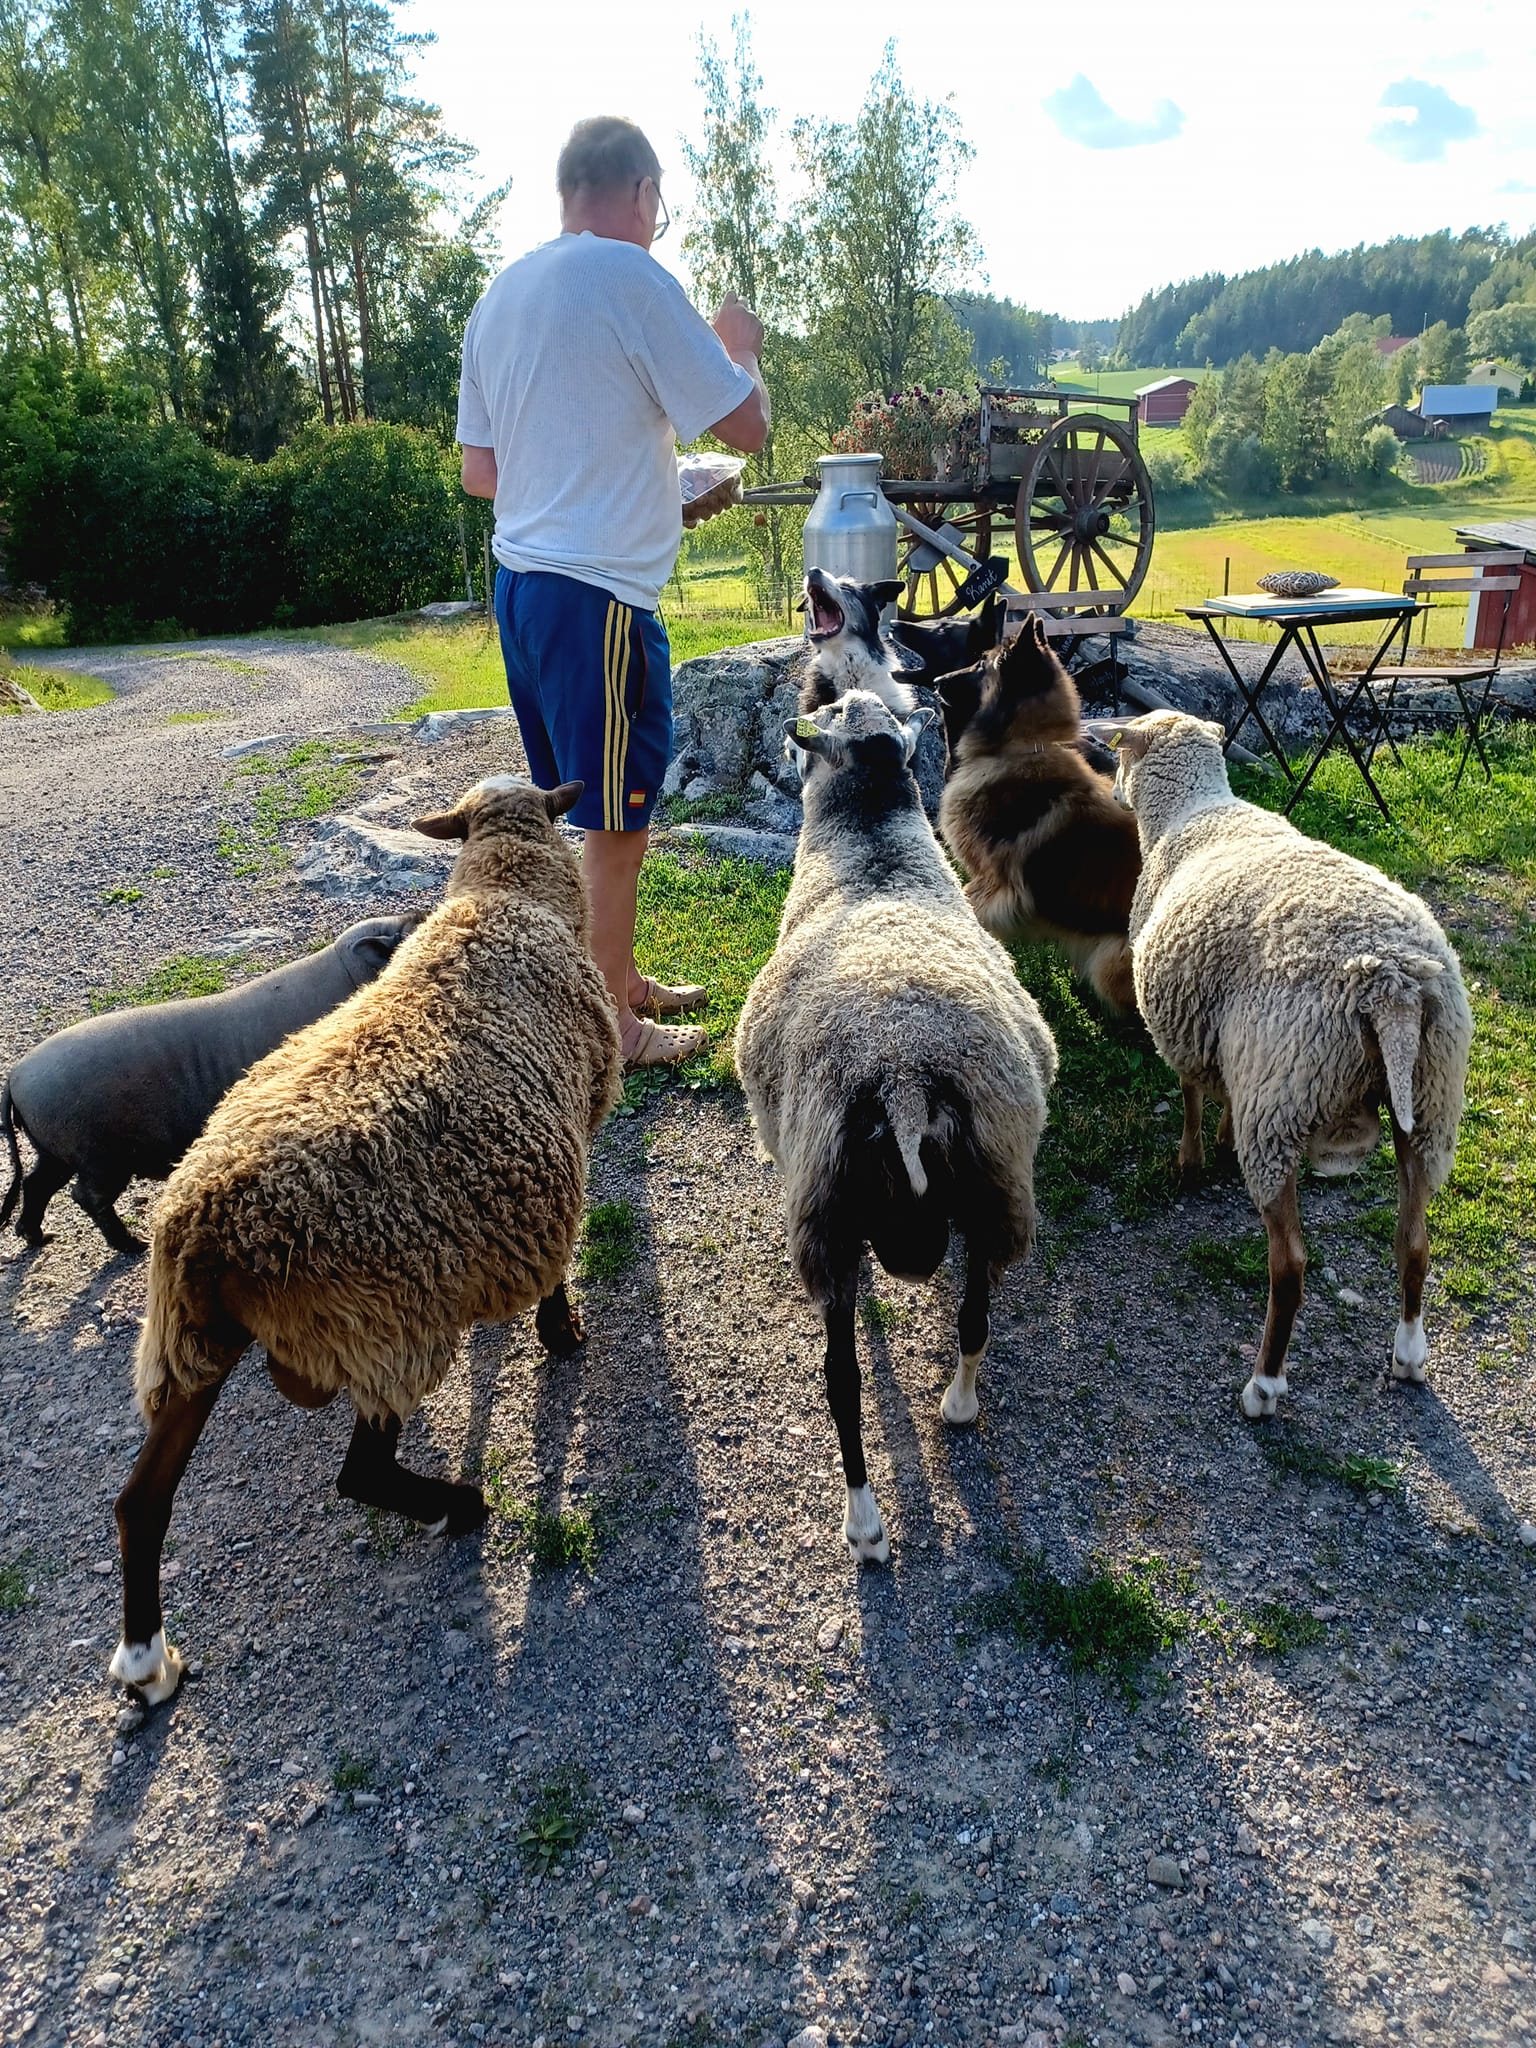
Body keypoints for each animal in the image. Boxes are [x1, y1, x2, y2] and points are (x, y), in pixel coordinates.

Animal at [2, 915, 416, 1254]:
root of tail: (15, 1076)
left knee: (36, 1184)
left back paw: (38, 1238)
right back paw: (133, 1246)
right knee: (86, 1196)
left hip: (53, 1151)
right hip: (100, 1157)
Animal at [110, 776, 623, 1705]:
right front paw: (561, 1333)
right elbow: (559, 1268)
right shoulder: (573, 1132)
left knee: (142, 1501)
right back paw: (462, 1506)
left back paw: (147, 1663)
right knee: (363, 1473)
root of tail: (205, 1226)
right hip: (384, 1324)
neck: (507, 896)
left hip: (196, 1344)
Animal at [736, 690, 1057, 1562]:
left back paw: (865, 1523)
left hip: (824, 1210)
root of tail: (906, 1075)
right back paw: (959, 1405)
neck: (872, 861)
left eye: (833, 715)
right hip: (997, 1183)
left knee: (841, 1383)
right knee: (975, 1318)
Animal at [1113, 711, 1473, 1418]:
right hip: (1428, 1103)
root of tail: (1390, 985)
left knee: (1290, 1266)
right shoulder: (1228, 1042)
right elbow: (1222, 1094)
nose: (1112, 788)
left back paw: (1264, 1385)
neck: (1192, 812)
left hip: (1283, 1098)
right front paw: (1221, 1139)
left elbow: (1191, 1093)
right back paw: (1408, 1355)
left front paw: (1193, 1160)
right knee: (1414, 1243)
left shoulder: (1184, 1025)